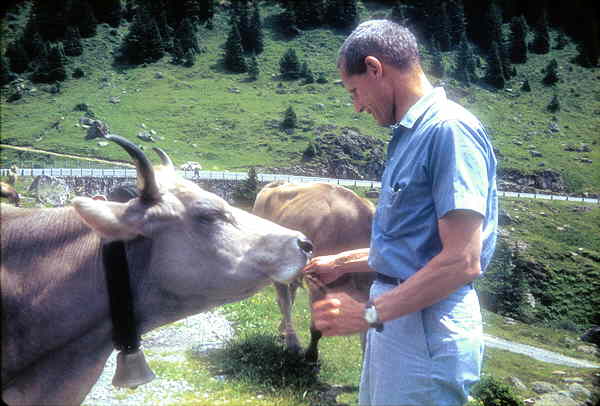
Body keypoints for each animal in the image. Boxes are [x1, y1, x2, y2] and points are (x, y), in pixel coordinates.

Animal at [251, 182, 372, 362]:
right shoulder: (316, 283)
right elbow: (316, 328)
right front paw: (311, 356)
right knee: (284, 302)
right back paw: (292, 342)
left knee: (289, 296)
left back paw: (283, 332)